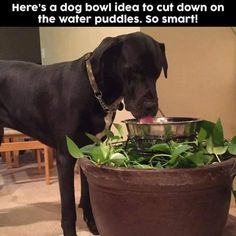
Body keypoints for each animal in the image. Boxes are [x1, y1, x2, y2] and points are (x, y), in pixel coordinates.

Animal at [0, 31, 168, 236]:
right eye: (133, 70)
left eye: (157, 72)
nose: (151, 107)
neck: (94, 89)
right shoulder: (65, 157)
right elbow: (68, 210)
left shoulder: (91, 150)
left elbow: (87, 191)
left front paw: (92, 224)